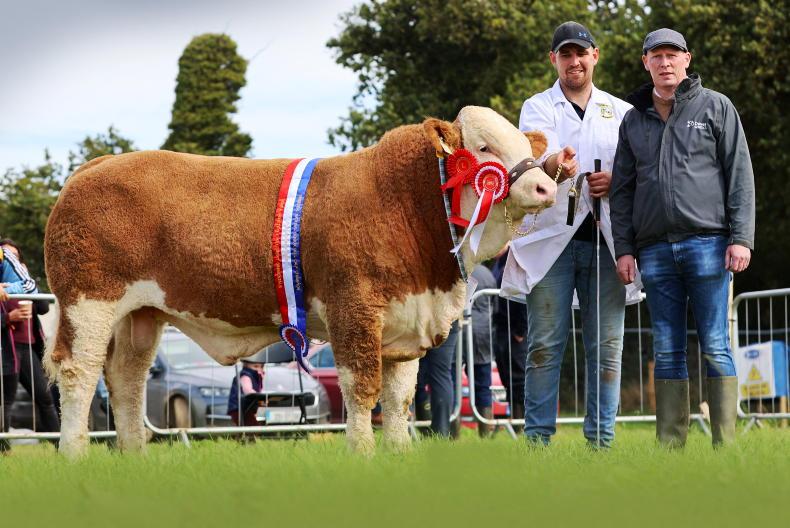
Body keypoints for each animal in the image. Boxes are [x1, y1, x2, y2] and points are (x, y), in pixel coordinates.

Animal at [43, 106, 557, 457]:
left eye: (525, 146)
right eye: (485, 148)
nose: (546, 187)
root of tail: (94, 167)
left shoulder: (405, 321)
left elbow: (399, 398)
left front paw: (400, 454)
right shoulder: (354, 308)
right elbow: (362, 388)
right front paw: (363, 455)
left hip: (141, 315)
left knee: (126, 379)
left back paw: (135, 456)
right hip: (89, 301)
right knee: (79, 372)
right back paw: (74, 454)